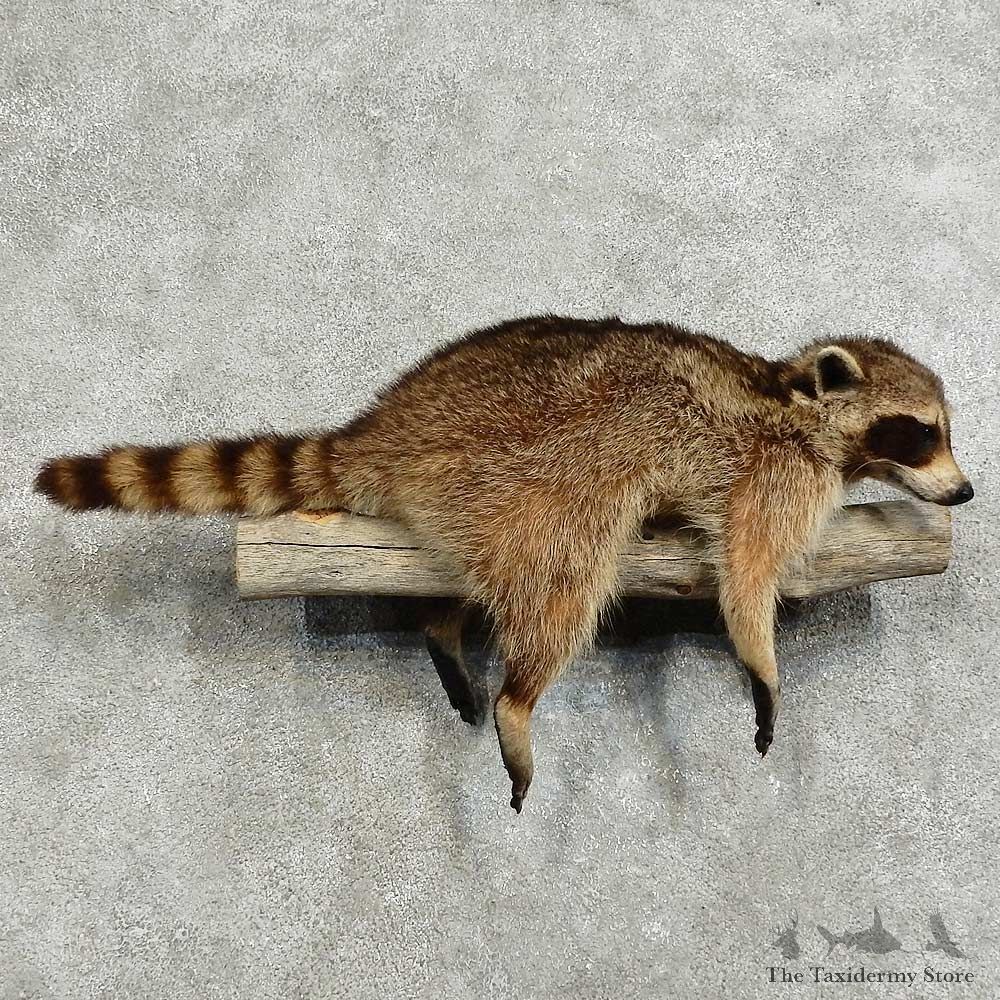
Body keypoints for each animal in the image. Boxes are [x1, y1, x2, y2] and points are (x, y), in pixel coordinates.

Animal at [34, 316, 973, 812]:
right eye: (920, 432)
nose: (965, 492)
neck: (795, 406)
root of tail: (387, 427)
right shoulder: (773, 475)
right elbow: (745, 572)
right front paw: (761, 665)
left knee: (476, 578)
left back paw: (445, 629)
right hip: (531, 472)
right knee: (564, 583)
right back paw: (518, 698)